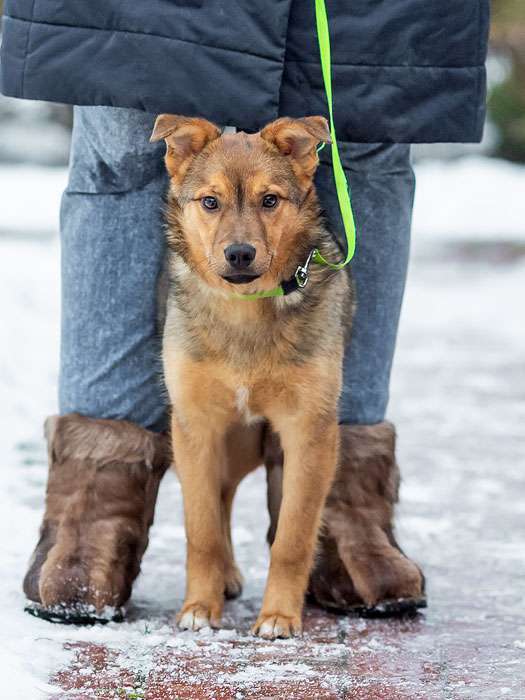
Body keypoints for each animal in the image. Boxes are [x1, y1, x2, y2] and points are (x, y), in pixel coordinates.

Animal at [150, 115, 352, 640]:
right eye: (210, 202)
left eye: (270, 200)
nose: (239, 254)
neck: (245, 311)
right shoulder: (195, 426)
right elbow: (200, 530)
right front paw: (199, 608)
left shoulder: (310, 433)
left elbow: (293, 537)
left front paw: (279, 615)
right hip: (226, 440)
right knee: (219, 499)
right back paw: (224, 578)